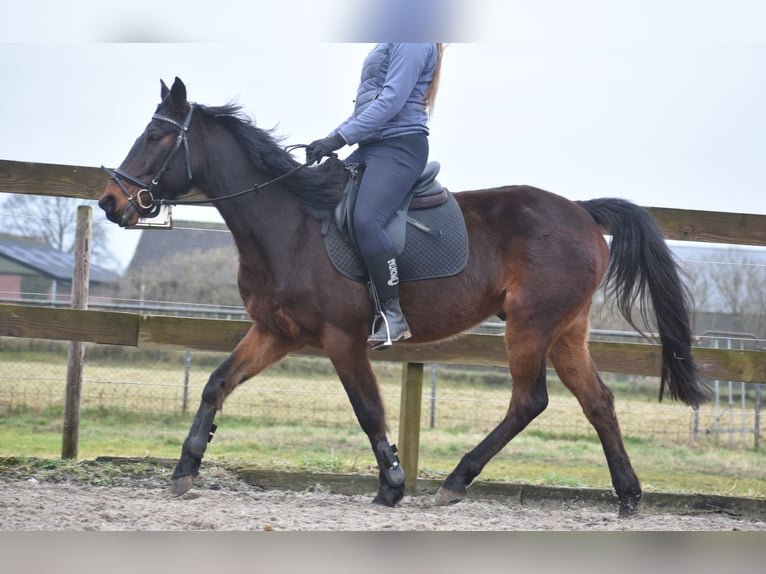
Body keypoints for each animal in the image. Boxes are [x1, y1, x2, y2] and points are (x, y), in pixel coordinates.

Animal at [99, 76, 712, 516]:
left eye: (155, 137)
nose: (110, 202)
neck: (290, 224)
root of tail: (583, 212)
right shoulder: (275, 332)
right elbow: (216, 383)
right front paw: (185, 470)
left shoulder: (343, 338)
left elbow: (368, 408)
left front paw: (392, 484)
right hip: (566, 330)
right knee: (598, 401)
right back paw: (628, 496)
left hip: (530, 325)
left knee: (529, 400)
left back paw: (455, 481)